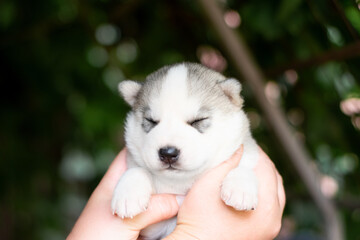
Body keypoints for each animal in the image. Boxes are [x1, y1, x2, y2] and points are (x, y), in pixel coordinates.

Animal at [112, 62, 258, 239]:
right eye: (151, 121)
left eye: (197, 121)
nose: (168, 153)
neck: (181, 182)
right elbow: (137, 170)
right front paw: (128, 193)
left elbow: (243, 165)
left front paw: (241, 187)